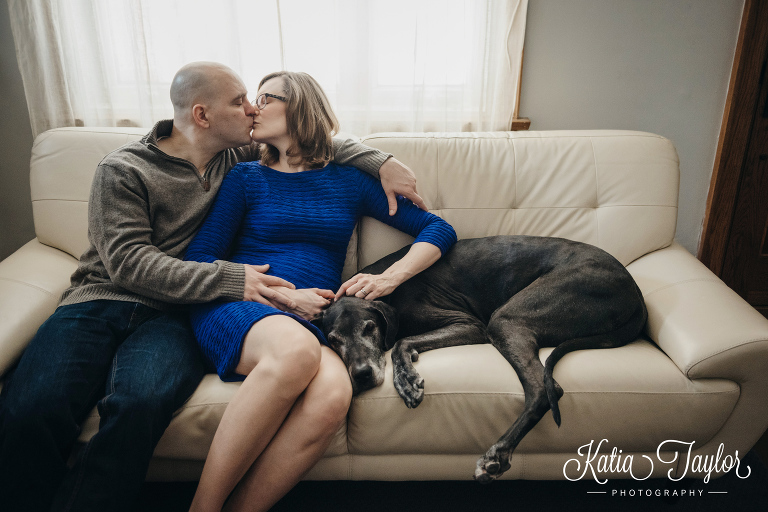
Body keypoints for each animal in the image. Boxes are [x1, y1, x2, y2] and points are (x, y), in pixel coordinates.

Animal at [320, 234, 648, 482]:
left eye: (370, 328)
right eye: (334, 340)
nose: (362, 374)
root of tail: (635, 289)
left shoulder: (468, 324)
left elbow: (401, 340)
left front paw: (406, 381)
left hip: (506, 319)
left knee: (545, 390)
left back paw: (498, 455)